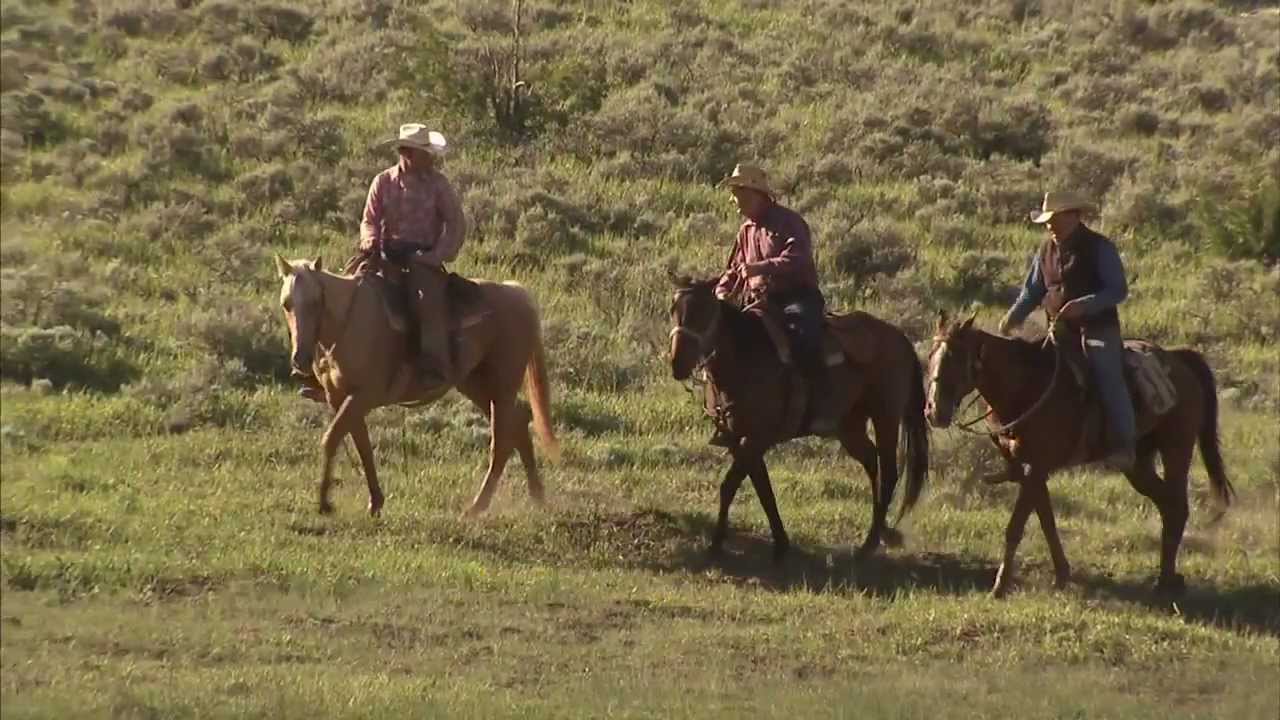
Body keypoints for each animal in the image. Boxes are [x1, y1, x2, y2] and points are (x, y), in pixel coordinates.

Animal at [272, 254, 558, 512]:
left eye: (315, 302)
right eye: (286, 304)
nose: (300, 359)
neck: (350, 322)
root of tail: (517, 293)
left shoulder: (364, 395)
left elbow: (331, 438)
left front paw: (324, 503)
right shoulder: (340, 397)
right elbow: (361, 444)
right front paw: (375, 501)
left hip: (502, 387)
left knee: (501, 442)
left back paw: (477, 507)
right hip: (476, 385)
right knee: (518, 426)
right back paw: (537, 497)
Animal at [670, 275, 931, 561]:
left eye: (704, 311)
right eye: (673, 310)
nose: (677, 364)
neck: (744, 358)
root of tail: (900, 339)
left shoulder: (757, 437)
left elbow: (730, 485)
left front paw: (716, 544)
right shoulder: (740, 440)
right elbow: (762, 488)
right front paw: (781, 544)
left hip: (886, 416)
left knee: (889, 473)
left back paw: (870, 544)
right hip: (849, 426)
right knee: (872, 462)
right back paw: (880, 533)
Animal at [926, 312, 1233, 594]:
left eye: (955, 357)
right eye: (931, 355)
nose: (933, 411)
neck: (1027, 385)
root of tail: (1180, 360)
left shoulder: (1037, 466)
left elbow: (1016, 526)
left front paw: (1000, 586)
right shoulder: (1029, 469)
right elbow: (1046, 520)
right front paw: (1062, 574)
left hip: (1176, 449)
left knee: (1178, 505)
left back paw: (1167, 581)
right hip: (1139, 464)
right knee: (1168, 504)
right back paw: (1166, 577)